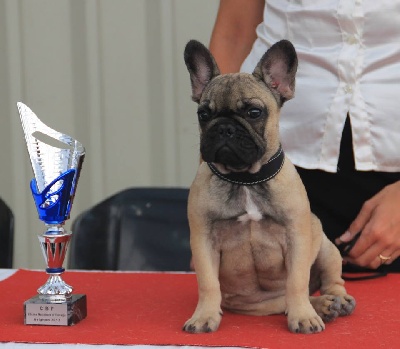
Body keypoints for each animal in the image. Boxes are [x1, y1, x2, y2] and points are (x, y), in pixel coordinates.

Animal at [183, 39, 354, 334]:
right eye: (203, 114)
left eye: (254, 112)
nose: (224, 128)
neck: (245, 179)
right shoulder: (203, 240)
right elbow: (208, 283)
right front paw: (204, 316)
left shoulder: (297, 237)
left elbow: (296, 281)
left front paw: (303, 317)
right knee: (287, 301)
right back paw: (321, 306)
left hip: (325, 246)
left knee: (329, 280)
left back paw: (334, 301)